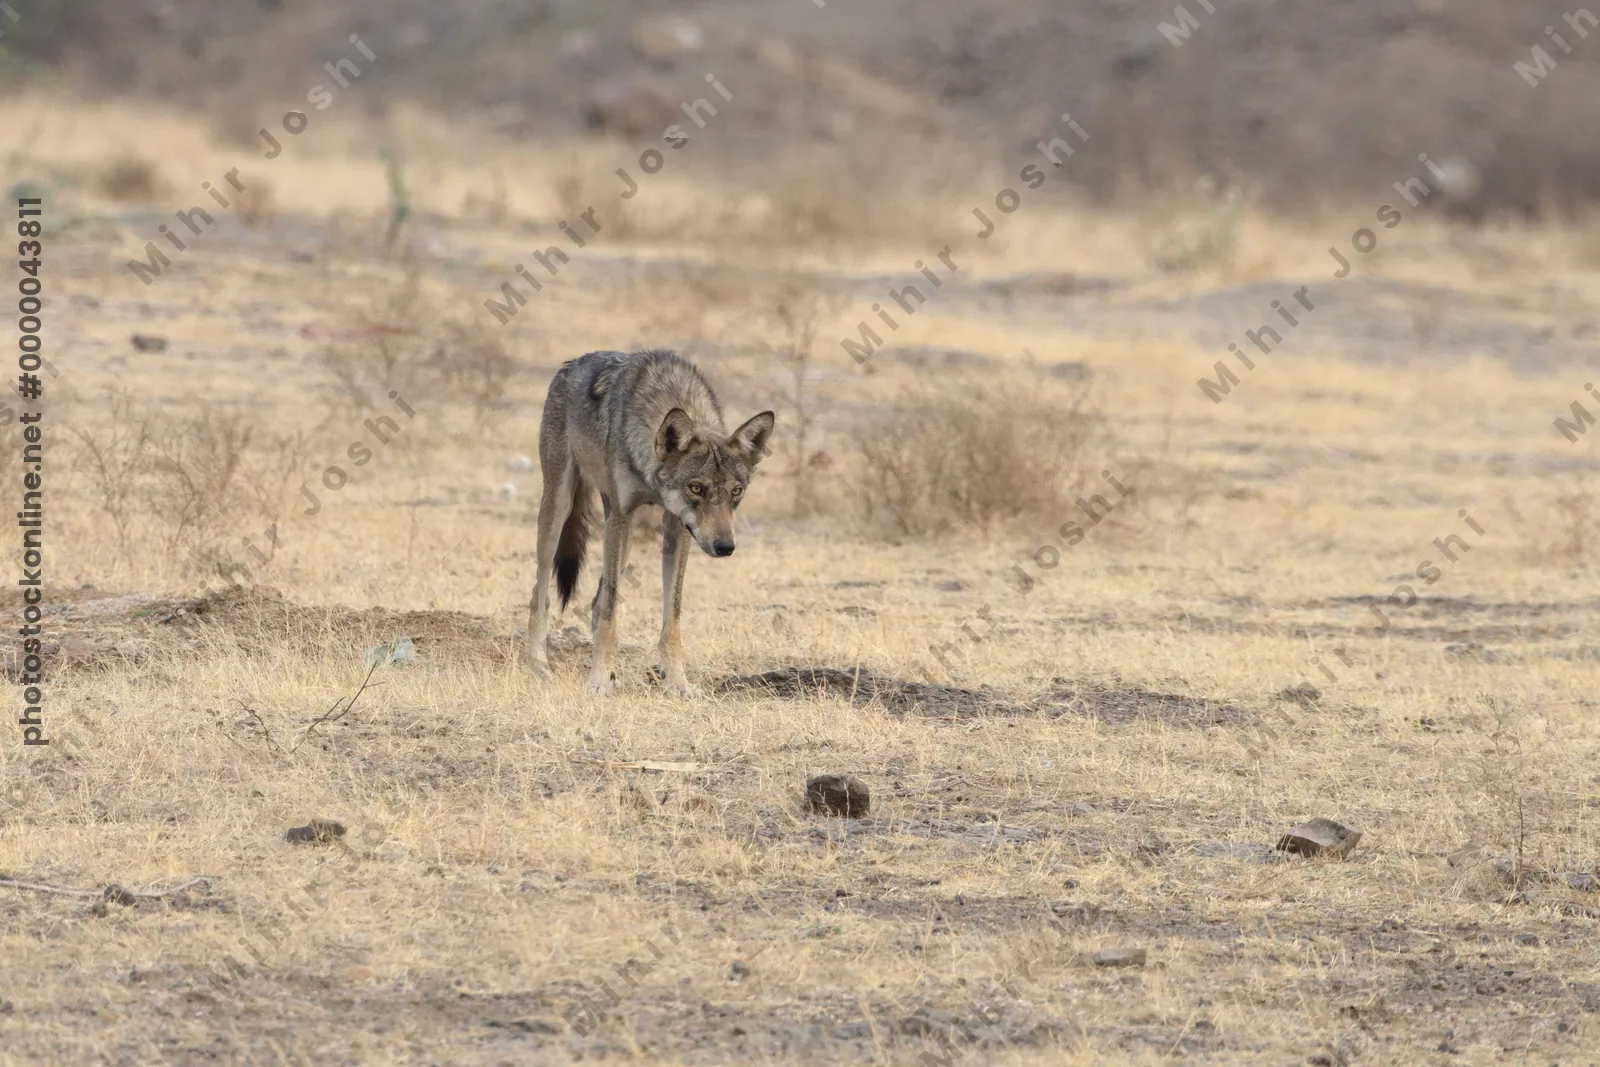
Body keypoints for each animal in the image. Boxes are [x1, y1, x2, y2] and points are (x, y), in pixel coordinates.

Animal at [526, 349, 775, 695]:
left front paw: (678, 682)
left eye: (736, 492)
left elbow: (672, 616)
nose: (725, 547)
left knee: (596, 603)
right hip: (562, 509)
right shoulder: (621, 515)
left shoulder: (677, 528)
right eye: (696, 488)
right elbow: (611, 611)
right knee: (541, 595)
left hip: (622, 534)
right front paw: (598, 680)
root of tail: (571, 363)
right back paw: (539, 665)